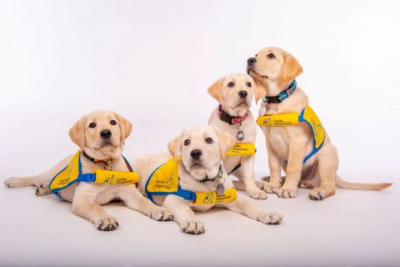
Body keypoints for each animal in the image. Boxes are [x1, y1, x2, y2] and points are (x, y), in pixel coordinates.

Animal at [3, 110, 172, 230]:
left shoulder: (129, 194)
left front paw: (159, 210)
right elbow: (95, 207)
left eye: (113, 122)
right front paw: (105, 218)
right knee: (36, 177)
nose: (106, 133)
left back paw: (43, 188)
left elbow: (144, 201)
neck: (105, 163)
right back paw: (14, 181)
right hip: (53, 171)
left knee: (50, 184)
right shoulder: (82, 199)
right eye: (92, 125)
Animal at [245, 47, 392, 200]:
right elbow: (273, 166)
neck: (278, 101)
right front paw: (274, 184)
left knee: (330, 186)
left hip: (326, 156)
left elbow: (293, 168)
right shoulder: (270, 142)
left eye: (271, 56)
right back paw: (276, 180)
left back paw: (318, 191)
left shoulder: (297, 141)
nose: (250, 60)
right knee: (299, 179)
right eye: (256, 55)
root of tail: (335, 175)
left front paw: (287, 189)